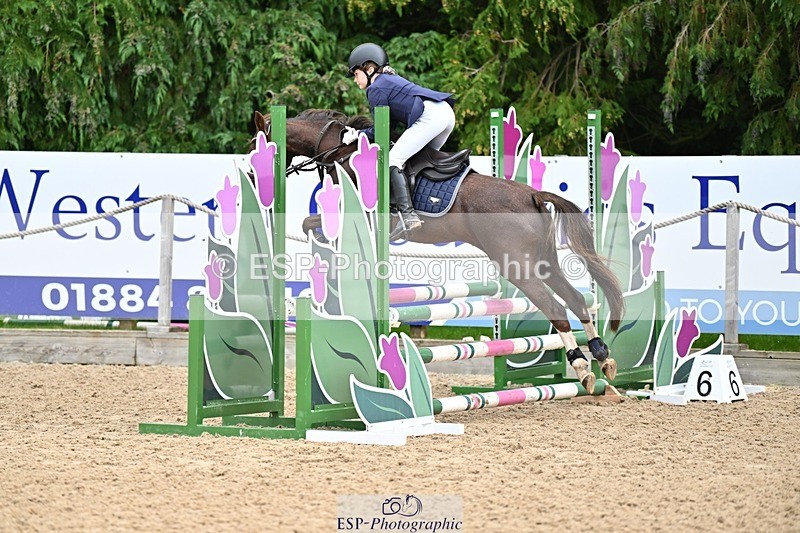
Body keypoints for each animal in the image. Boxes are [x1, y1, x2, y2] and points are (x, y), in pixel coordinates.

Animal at [252, 109, 624, 393]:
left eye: (256, 146)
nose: (254, 181)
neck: (340, 152)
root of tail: (532, 194)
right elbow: (309, 224)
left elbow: (308, 223)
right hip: (543, 261)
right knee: (575, 300)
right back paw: (602, 357)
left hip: (516, 266)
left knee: (556, 308)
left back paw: (583, 368)